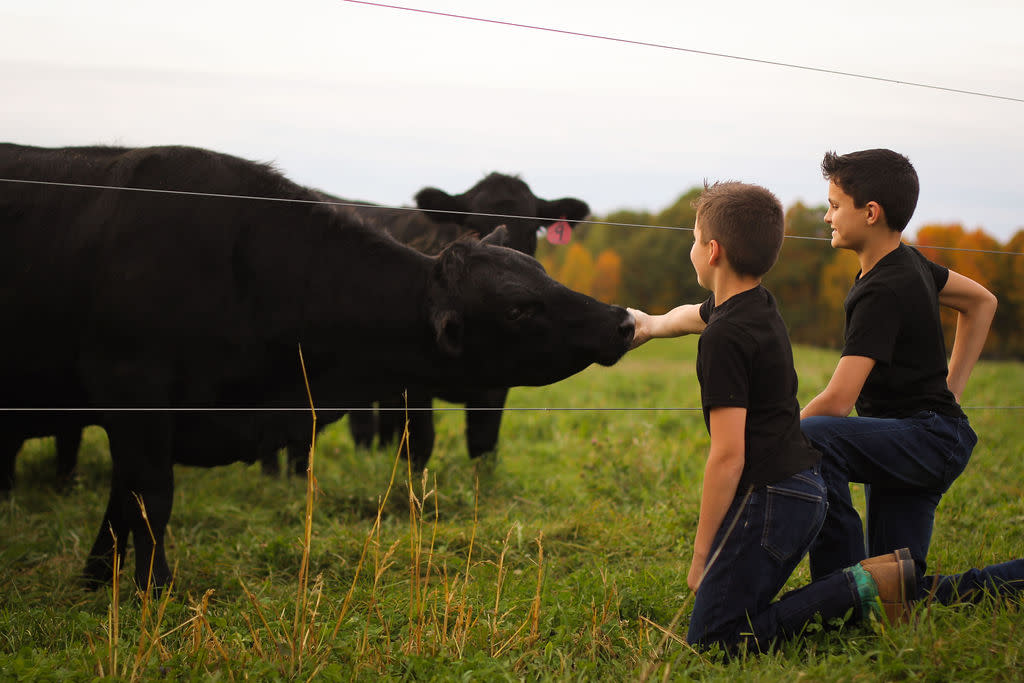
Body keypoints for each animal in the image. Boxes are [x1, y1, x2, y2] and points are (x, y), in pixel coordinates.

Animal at [0, 144, 630, 589]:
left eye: (540, 260)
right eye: (520, 307)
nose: (620, 319)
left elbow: (122, 499)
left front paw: (95, 579)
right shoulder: (135, 392)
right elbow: (149, 499)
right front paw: (153, 593)